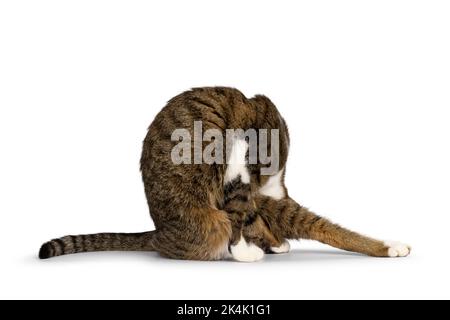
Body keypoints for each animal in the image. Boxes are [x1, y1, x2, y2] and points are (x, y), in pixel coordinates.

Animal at [39, 86, 412, 262]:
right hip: (210, 210)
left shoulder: (262, 191)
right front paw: (247, 250)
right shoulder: (239, 176)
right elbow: (242, 218)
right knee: (224, 222)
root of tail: (159, 233)